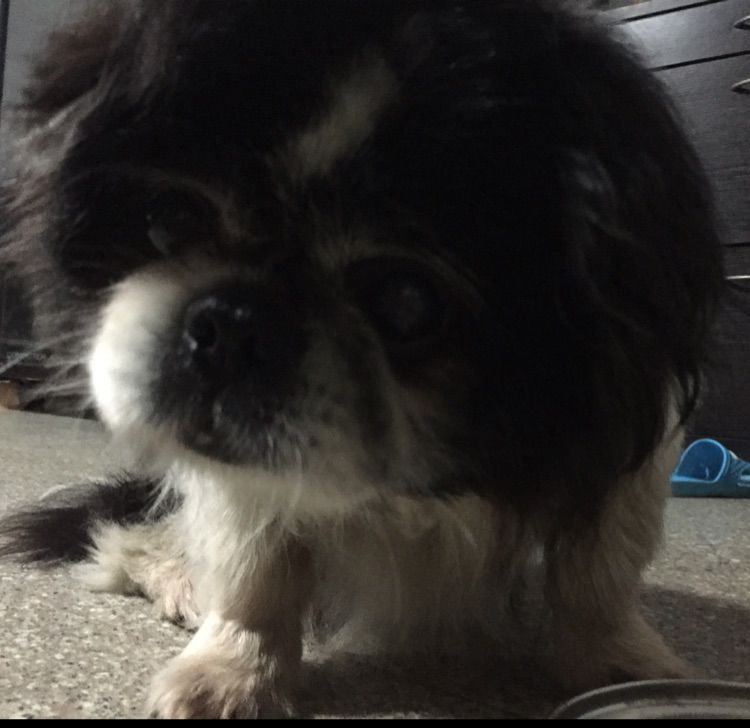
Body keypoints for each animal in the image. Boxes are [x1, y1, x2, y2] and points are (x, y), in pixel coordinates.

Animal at [0, 0, 724, 718]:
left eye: (406, 301)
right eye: (170, 221)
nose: (230, 321)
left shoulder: (624, 460)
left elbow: (595, 578)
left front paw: (622, 668)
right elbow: (256, 575)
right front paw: (236, 671)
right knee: (131, 540)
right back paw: (181, 578)